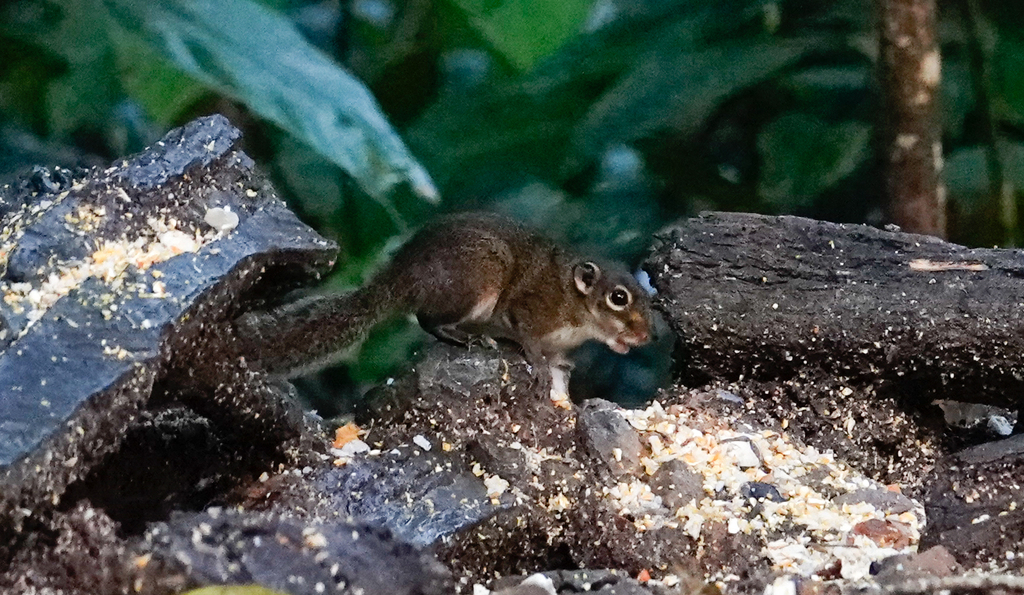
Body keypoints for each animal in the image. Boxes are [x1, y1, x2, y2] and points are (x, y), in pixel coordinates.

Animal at [233, 212, 653, 399]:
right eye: (618, 298)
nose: (646, 337)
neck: (574, 303)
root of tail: (400, 278)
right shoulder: (532, 307)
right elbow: (528, 338)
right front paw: (539, 366)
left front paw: (561, 363)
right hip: (477, 280)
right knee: (427, 319)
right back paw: (463, 337)